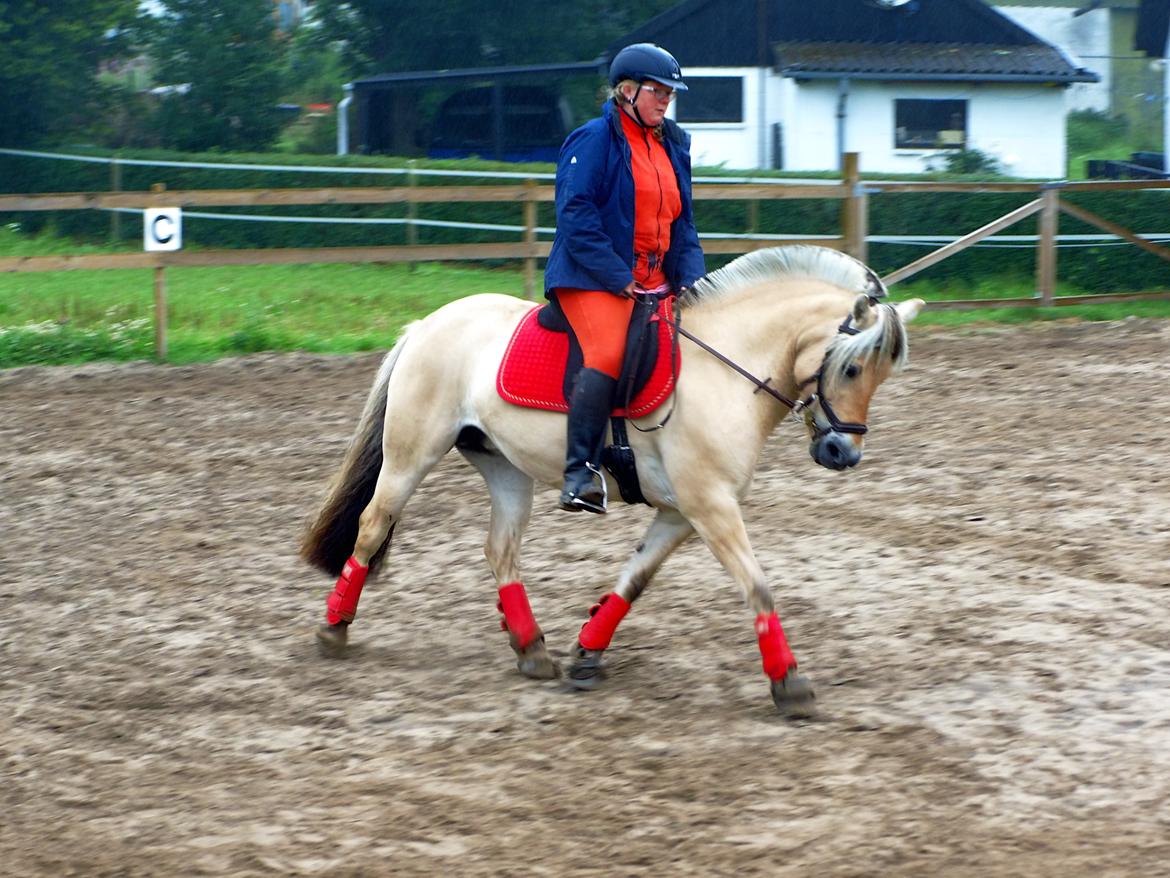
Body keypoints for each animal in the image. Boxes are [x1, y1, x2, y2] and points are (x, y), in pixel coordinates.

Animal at [299, 244, 921, 716]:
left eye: (882, 375)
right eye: (850, 367)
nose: (843, 452)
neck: (724, 364)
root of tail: (428, 324)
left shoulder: (680, 512)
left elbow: (635, 580)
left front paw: (587, 652)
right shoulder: (711, 505)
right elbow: (758, 585)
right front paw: (789, 682)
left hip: (505, 467)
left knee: (500, 549)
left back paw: (532, 650)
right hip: (412, 453)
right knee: (373, 525)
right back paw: (334, 629)